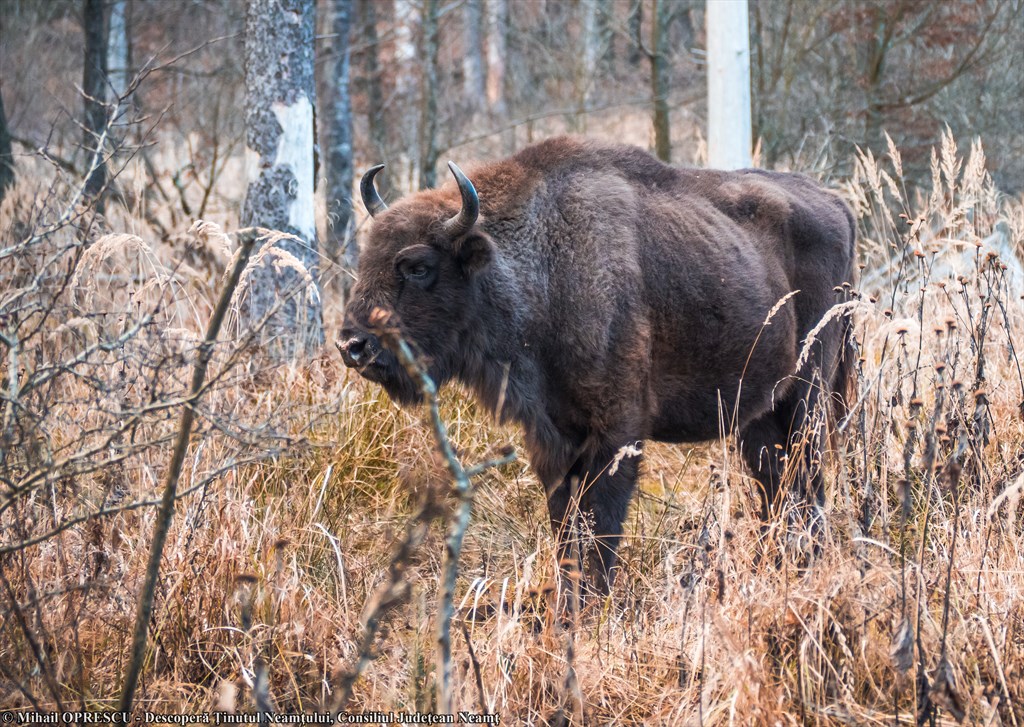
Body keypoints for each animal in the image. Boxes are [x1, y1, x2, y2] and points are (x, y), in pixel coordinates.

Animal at [339, 136, 855, 593]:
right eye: (367, 259)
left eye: (417, 266)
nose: (351, 345)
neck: (545, 265)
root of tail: (836, 203)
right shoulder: (552, 440)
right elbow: (566, 531)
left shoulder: (616, 432)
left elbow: (599, 530)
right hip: (758, 415)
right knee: (778, 486)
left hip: (807, 397)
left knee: (807, 483)